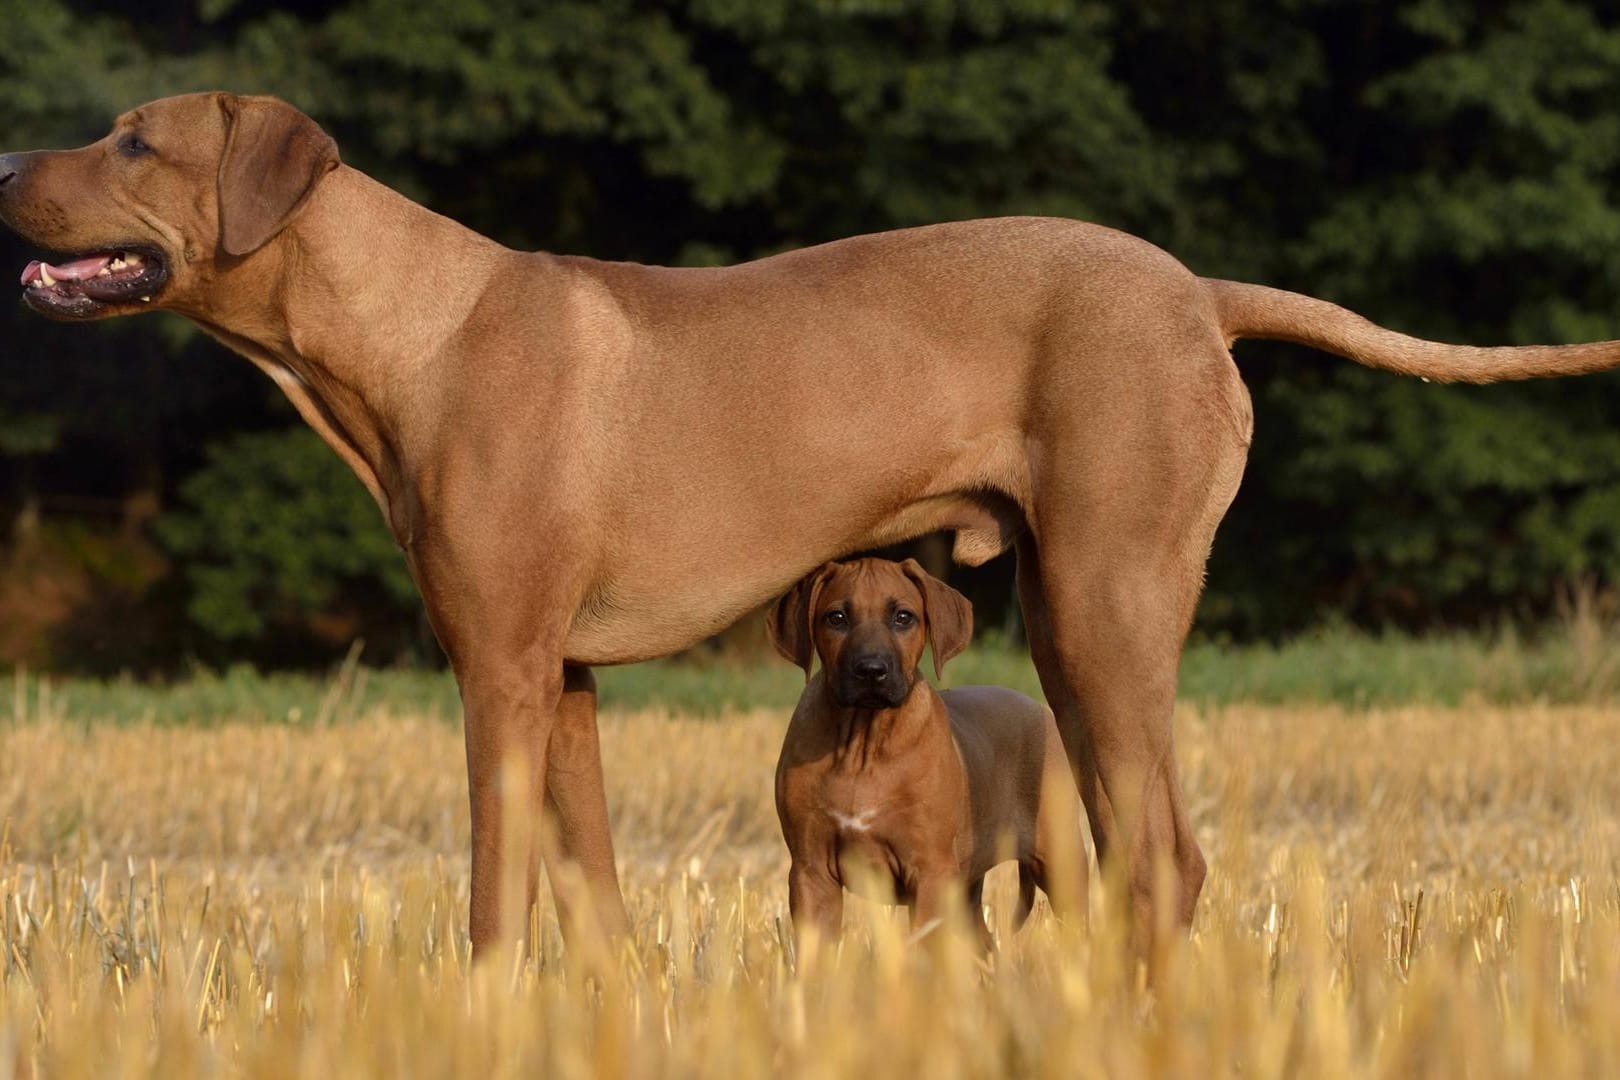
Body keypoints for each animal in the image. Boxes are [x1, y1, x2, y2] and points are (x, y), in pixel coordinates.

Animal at [771, 563, 1088, 952]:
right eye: (837, 618)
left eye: (903, 617)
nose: (871, 670)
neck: (863, 743)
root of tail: (1039, 708)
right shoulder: (811, 872)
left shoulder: (929, 871)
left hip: (1061, 860)